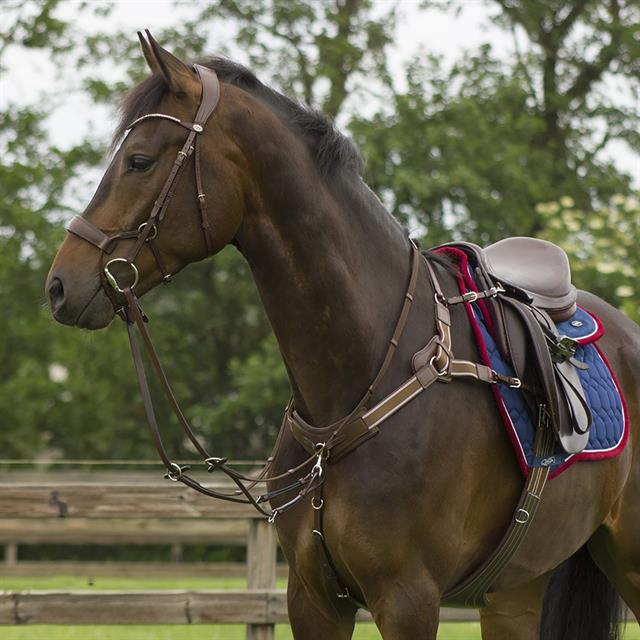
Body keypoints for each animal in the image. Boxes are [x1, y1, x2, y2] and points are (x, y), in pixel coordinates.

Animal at [46, 35, 640, 640]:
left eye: (139, 161)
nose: (60, 285)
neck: (361, 380)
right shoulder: (314, 600)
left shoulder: (407, 600)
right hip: (518, 590)